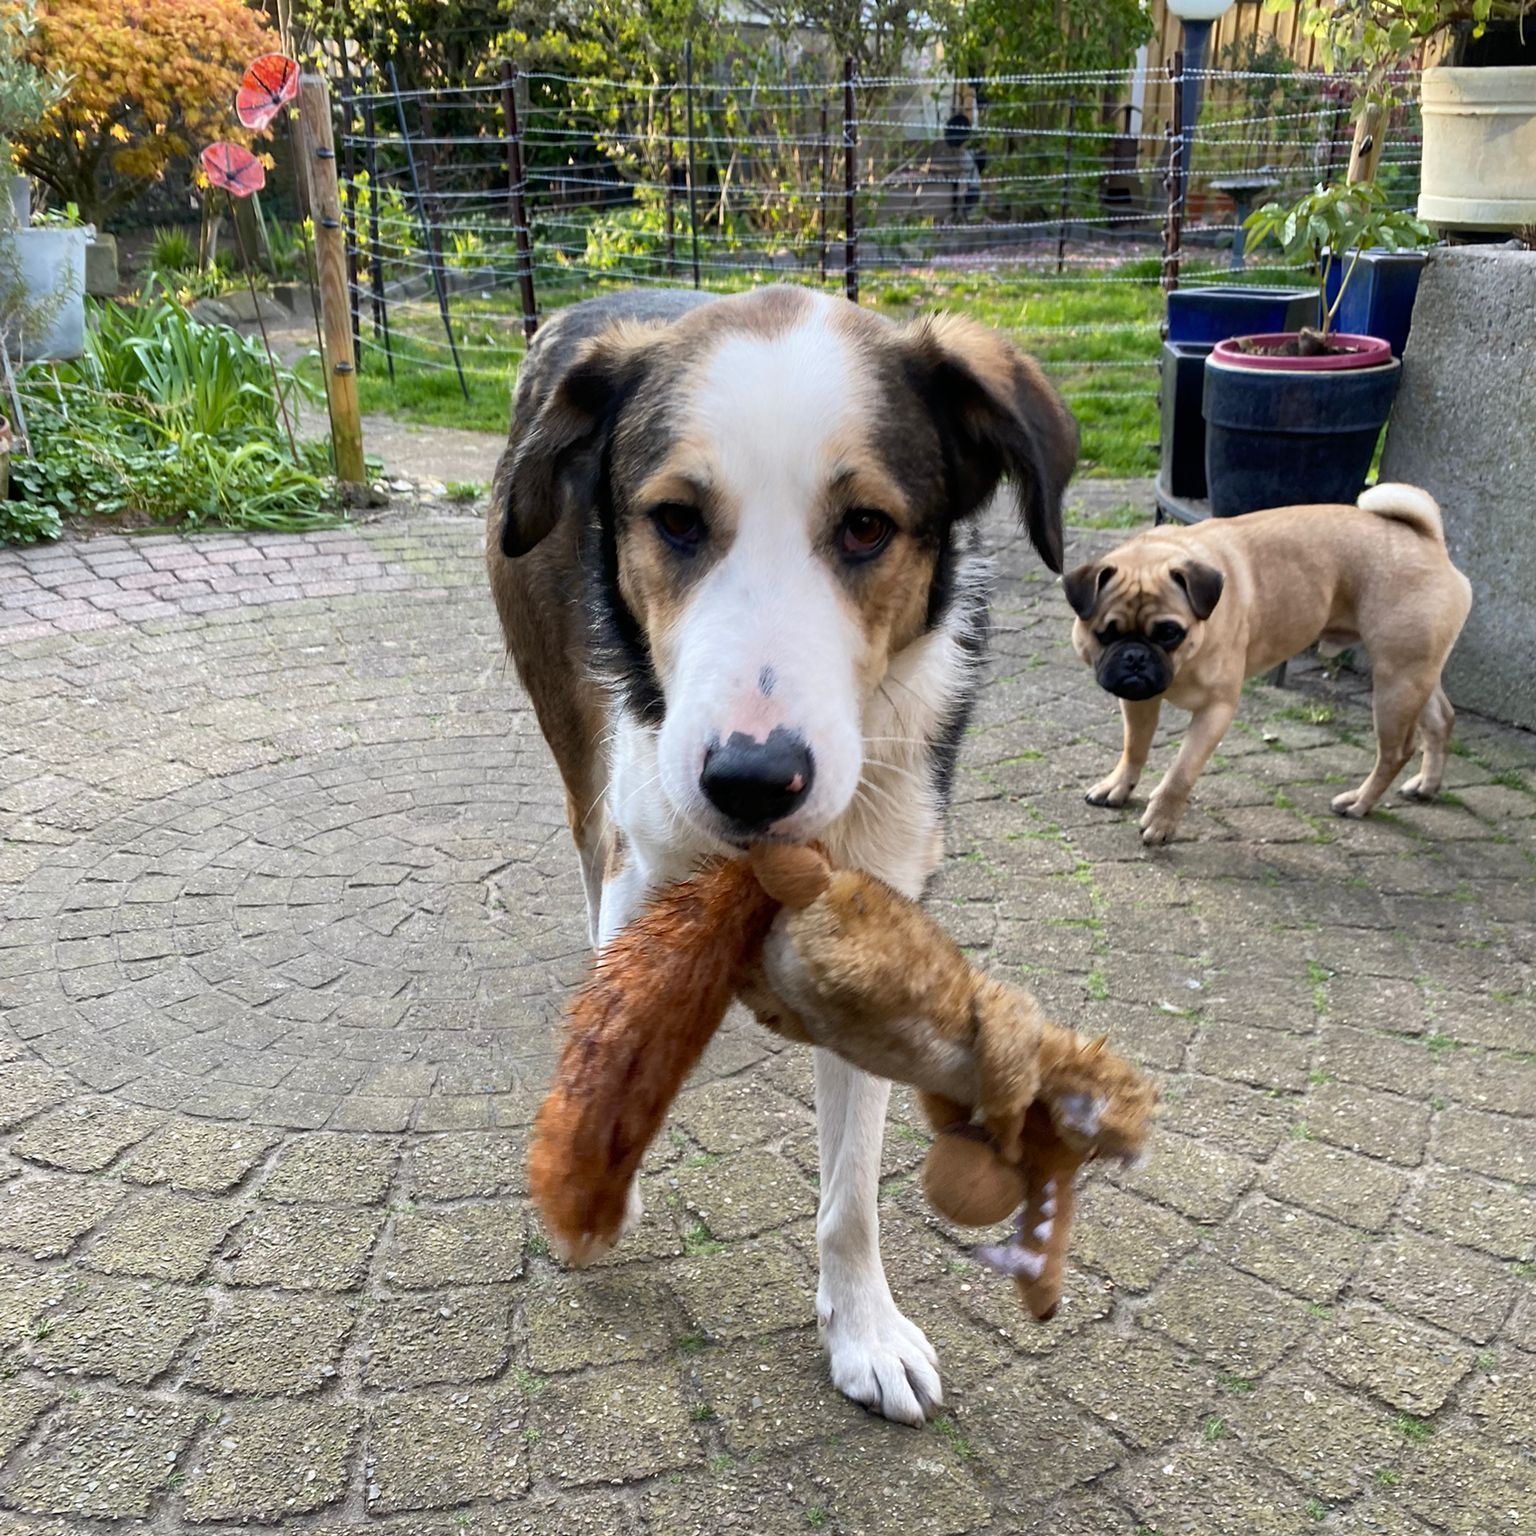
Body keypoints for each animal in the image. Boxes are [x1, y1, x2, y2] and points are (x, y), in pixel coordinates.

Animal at [485, 284, 1077, 1424]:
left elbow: (852, 1194)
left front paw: (865, 1331)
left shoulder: (874, 909)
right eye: (675, 519)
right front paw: (593, 1183)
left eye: (866, 527)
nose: (755, 781)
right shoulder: (645, 852)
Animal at [1063, 484, 1473, 846]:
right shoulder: (1139, 700)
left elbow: (1180, 772)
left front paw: (1161, 821)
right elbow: (1135, 747)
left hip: (1395, 682)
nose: (1135, 655)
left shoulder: (1215, 711)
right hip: (1415, 675)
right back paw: (1426, 785)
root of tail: (1428, 540)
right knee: (1440, 719)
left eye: (1168, 633)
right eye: (1106, 634)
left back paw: (1360, 801)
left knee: (1396, 752)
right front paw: (1118, 786)